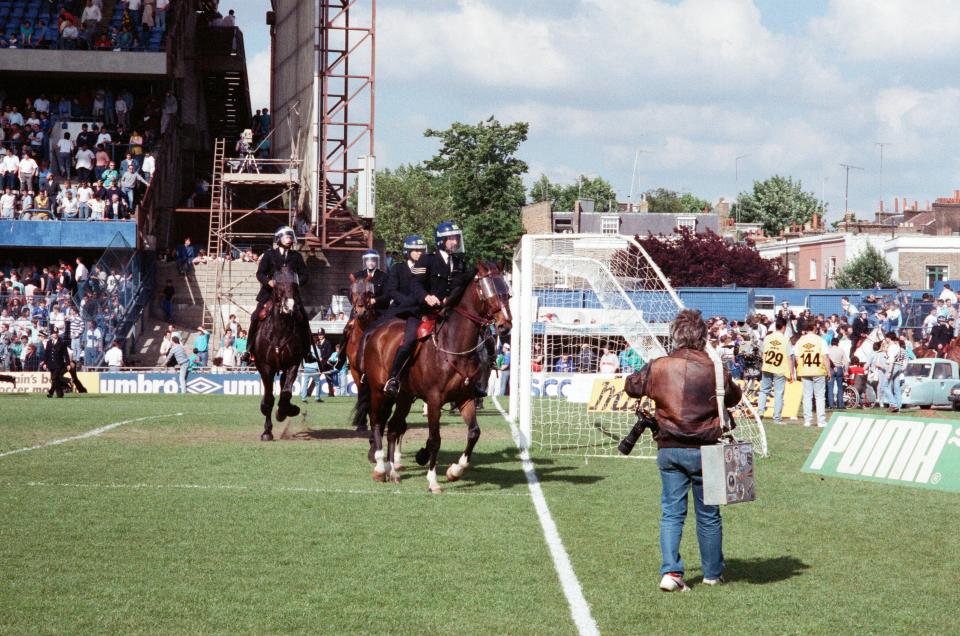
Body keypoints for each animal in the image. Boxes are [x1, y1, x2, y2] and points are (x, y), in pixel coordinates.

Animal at [253, 266, 306, 440]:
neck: (279, 331)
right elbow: (269, 398)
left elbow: (286, 393)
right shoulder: (265, 366)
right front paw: (267, 432)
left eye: (295, 285)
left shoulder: (292, 364)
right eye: (278, 285)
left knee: (284, 387)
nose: (290, 306)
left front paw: (284, 411)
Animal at [358, 260, 510, 494]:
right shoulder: (434, 400)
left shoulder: (465, 398)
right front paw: (433, 480)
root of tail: (376, 332)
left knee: (393, 426)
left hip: (403, 397)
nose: (505, 325)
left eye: (507, 292)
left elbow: (474, 433)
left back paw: (393, 472)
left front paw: (454, 471)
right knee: (377, 422)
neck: (454, 347)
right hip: (379, 391)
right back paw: (381, 468)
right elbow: (435, 439)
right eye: (487, 291)